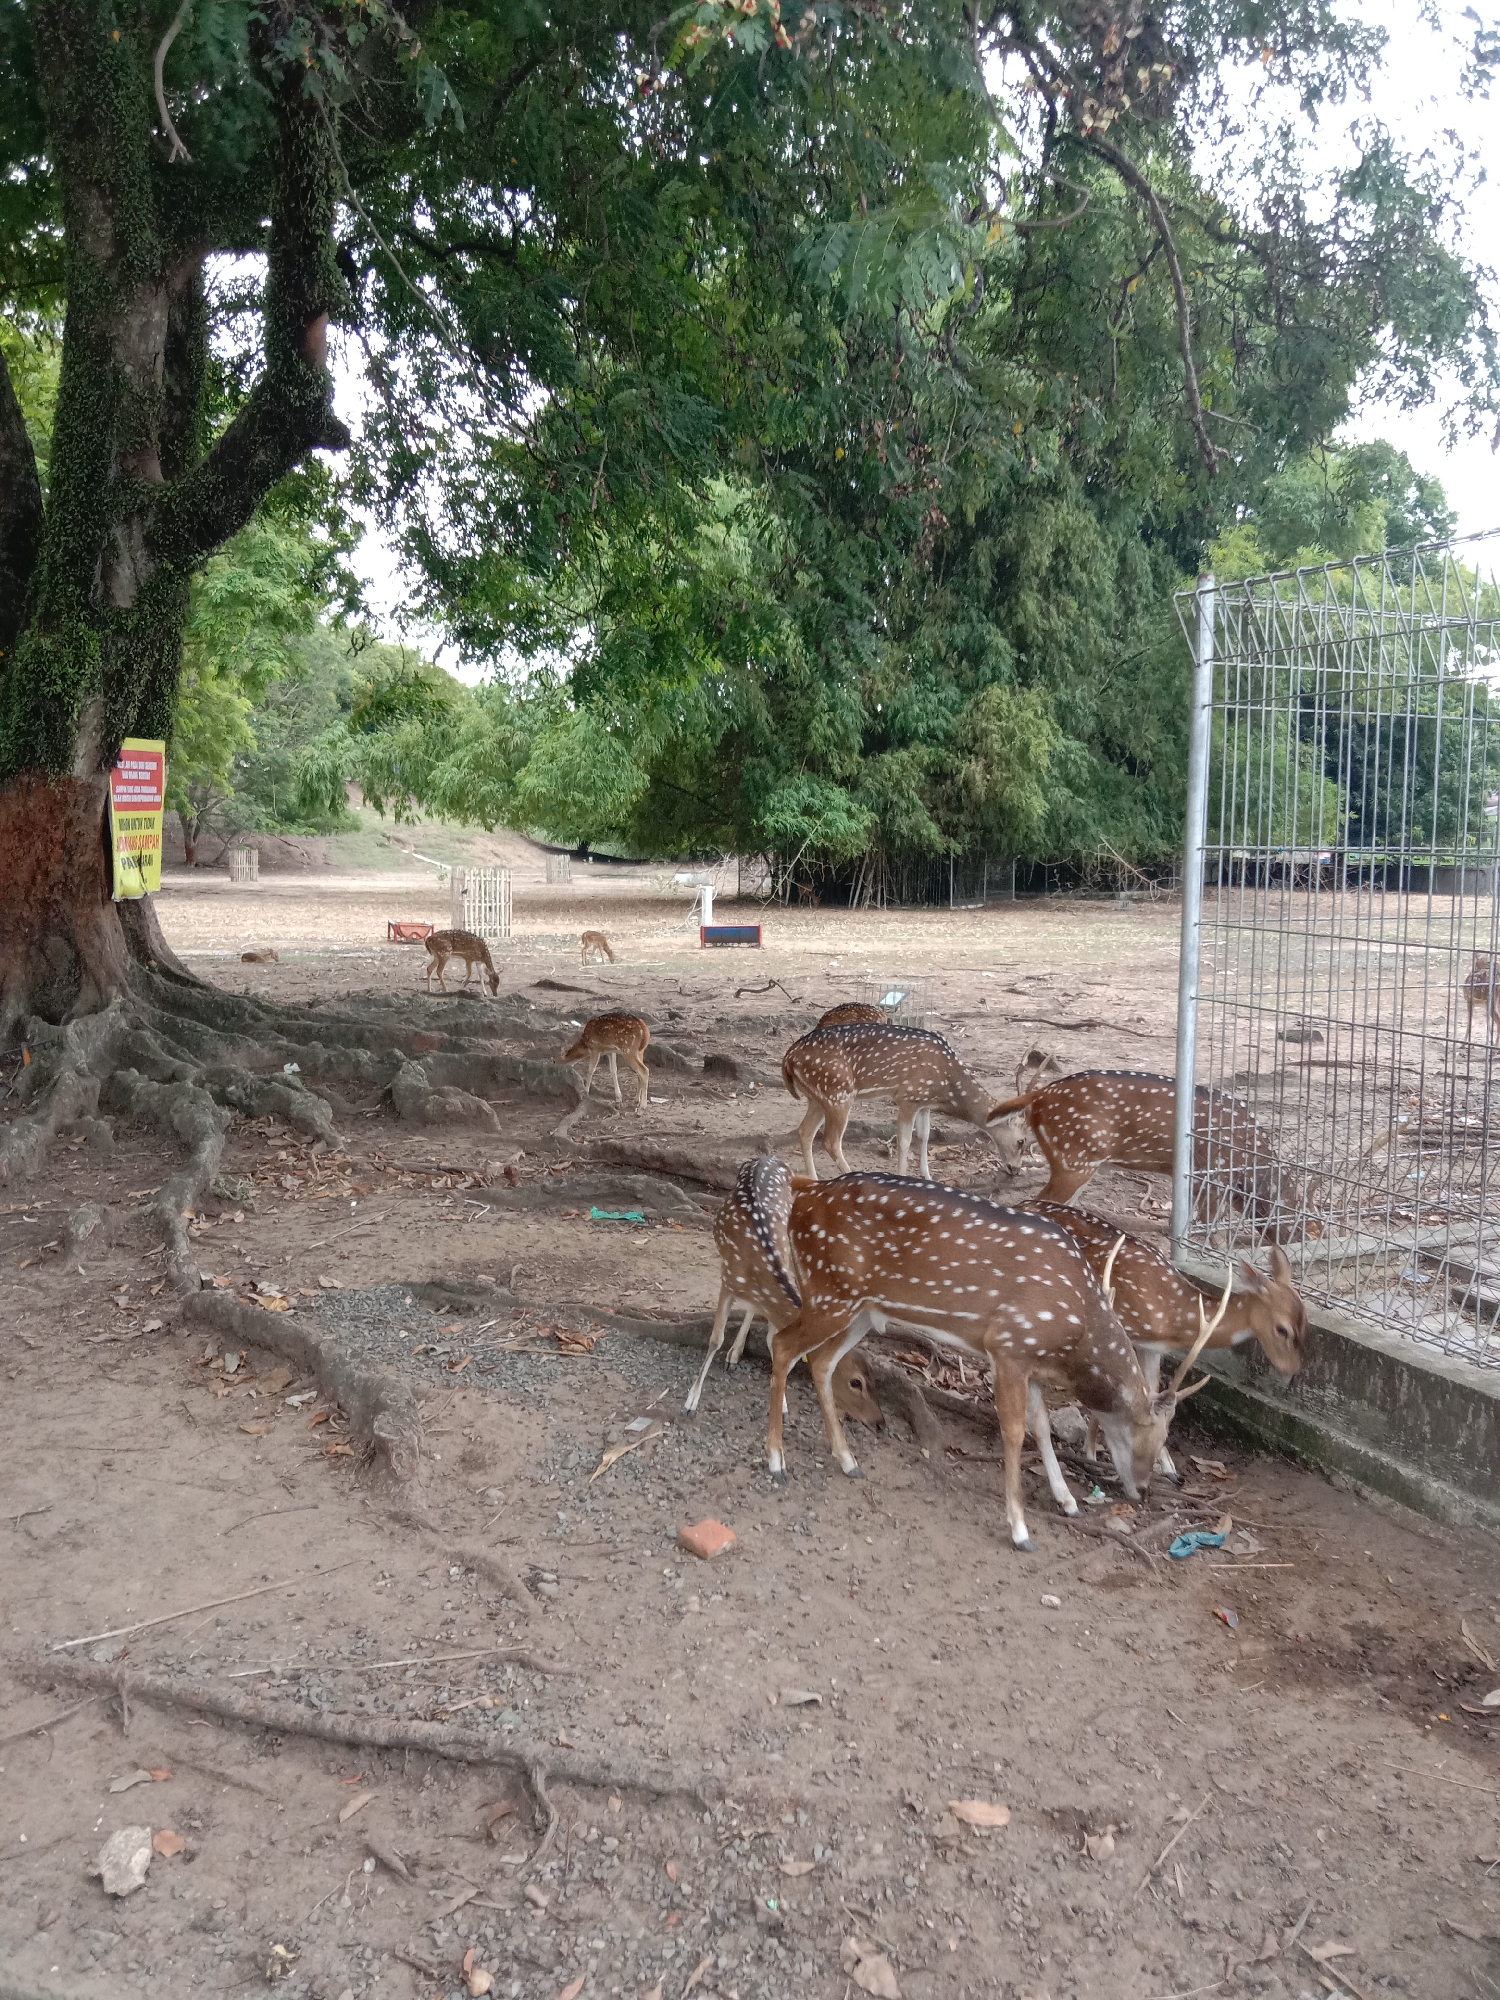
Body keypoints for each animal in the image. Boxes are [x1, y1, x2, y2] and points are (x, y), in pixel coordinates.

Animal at [684, 1157, 884, 1428]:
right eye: (856, 1382)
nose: (880, 1422)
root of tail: (766, 1158)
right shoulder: (727, 1281)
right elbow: (716, 1339)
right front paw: (691, 1402)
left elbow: (773, 1340)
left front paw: (784, 1406)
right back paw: (733, 1354)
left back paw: (736, 1353)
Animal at [764, 1173, 1217, 1549]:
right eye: (1147, 1432)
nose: (1143, 1491)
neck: (1073, 1328)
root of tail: (803, 1195)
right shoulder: (1009, 1346)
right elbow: (1014, 1432)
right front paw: (1020, 1530)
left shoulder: (1031, 1361)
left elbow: (1042, 1426)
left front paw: (1067, 1502)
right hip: (831, 1292)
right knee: (784, 1345)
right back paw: (776, 1462)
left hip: (860, 1308)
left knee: (820, 1361)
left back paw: (848, 1461)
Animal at [782, 1022, 1021, 1181]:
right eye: (1022, 1141)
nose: (1016, 1169)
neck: (947, 1085)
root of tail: (788, 1058)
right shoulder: (908, 1097)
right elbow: (904, 1141)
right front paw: (903, 1176)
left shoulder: (924, 1103)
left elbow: (924, 1136)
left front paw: (928, 1176)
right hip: (837, 1093)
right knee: (830, 1141)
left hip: (818, 1097)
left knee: (805, 1131)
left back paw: (814, 1180)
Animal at [986, 1069, 1301, 1237]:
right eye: (1300, 1215)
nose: (1300, 1238)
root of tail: (1038, 1096)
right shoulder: (1212, 1173)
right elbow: (1206, 1227)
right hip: (1075, 1157)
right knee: (1039, 1201)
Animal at [1030, 1203, 1305, 1476]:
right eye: (1282, 1329)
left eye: (1306, 1326)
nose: (1293, 1373)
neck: (1172, 1316)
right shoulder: (1119, 1327)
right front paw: (1090, 1453)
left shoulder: (1153, 1348)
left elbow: (1153, 1391)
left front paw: (1168, 1465)